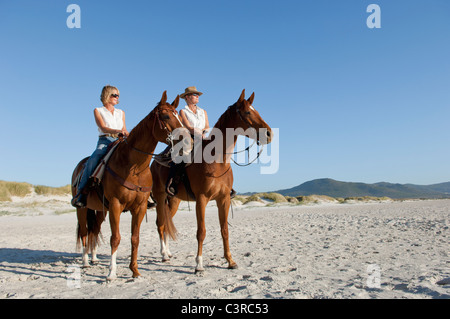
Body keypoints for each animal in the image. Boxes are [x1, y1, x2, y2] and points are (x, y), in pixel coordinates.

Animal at [71, 90, 184, 280]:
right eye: (166, 116)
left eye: (179, 116)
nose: (189, 139)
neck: (134, 167)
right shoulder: (116, 205)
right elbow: (115, 238)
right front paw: (111, 273)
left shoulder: (140, 207)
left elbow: (135, 238)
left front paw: (135, 270)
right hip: (82, 208)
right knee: (85, 231)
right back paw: (86, 261)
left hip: (100, 210)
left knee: (95, 229)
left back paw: (94, 258)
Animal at [151, 89, 272, 274]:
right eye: (247, 112)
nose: (269, 134)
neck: (217, 162)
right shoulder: (201, 199)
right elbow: (201, 231)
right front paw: (199, 264)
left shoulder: (224, 199)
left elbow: (225, 230)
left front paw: (230, 261)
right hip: (159, 197)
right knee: (161, 224)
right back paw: (164, 254)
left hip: (173, 201)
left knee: (166, 222)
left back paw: (168, 252)